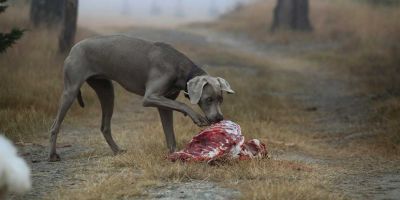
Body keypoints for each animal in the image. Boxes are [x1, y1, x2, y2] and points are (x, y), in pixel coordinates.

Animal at [48, 35, 234, 162]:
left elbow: (169, 132)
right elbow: (182, 104)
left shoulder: (164, 103)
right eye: (208, 99)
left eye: (221, 99)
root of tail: (74, 47)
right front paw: (197, 117)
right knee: (55, 125)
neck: (181, 68)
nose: (219, 118)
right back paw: (53, 155)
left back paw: (117, 151)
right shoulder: (150, 97)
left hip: (106, 90)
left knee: (105, 126)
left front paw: (174, 154)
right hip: (71, 90)